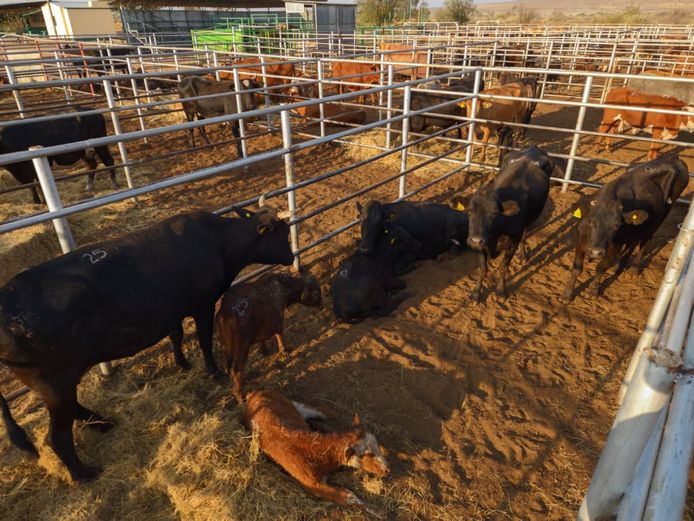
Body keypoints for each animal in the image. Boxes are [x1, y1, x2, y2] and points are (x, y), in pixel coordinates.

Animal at [0, 198, 294, 481]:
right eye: (282, 233)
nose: (291, 257)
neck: (218, 242)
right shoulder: (202, 305)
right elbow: (203, 339)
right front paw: (213, 372)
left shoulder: (171, 310)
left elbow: (176, 335)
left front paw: (182, 363)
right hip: (54, 384)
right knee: (57, 437)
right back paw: (84, 473)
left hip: (55, 386)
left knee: (73, 410)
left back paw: (104, 424)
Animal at [217, 273, 322, 402]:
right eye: (316, 293)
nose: (322, 306)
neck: (283, 287)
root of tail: (224, 314)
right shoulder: (278, 320)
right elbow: (280, 336)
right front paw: (284, 352)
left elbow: (262, 340)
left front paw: (263, 351)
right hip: (242, 347)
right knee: (236, 370)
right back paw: (240, 396)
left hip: (227, 348)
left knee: (228, 369)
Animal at [244, 390, 389, 513]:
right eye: (367, 454)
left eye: (376, 445)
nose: (387, 470)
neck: (319, 450)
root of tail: (255, 393)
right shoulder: (314, 486)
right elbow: (348, 495)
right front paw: (376, 510)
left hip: (294, 404)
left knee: (321, 411)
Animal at [452, 146, 557, 302]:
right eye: (469, 211)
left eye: (495, 214)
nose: (476, 240)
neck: (495, 235)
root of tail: (532, 149)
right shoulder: (481, 246)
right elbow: (482, 270)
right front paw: (476, 293)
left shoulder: (512, 243)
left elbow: (503, 268)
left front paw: (501, 291)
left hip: (530, 219)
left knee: (525, 234)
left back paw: (523, 255)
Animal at [561, 153, 689, 302]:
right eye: (591, 222)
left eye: (616, 226)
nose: (596, 252)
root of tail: (672, 156)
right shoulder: (581, 235)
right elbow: (577, 267)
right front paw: (567, 294)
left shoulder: (616, 243)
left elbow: (601, 267)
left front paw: (593, 290)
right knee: (633, 242)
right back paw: (619, 265)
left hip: (663, 214)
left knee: (645, 240)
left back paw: (634, 268)